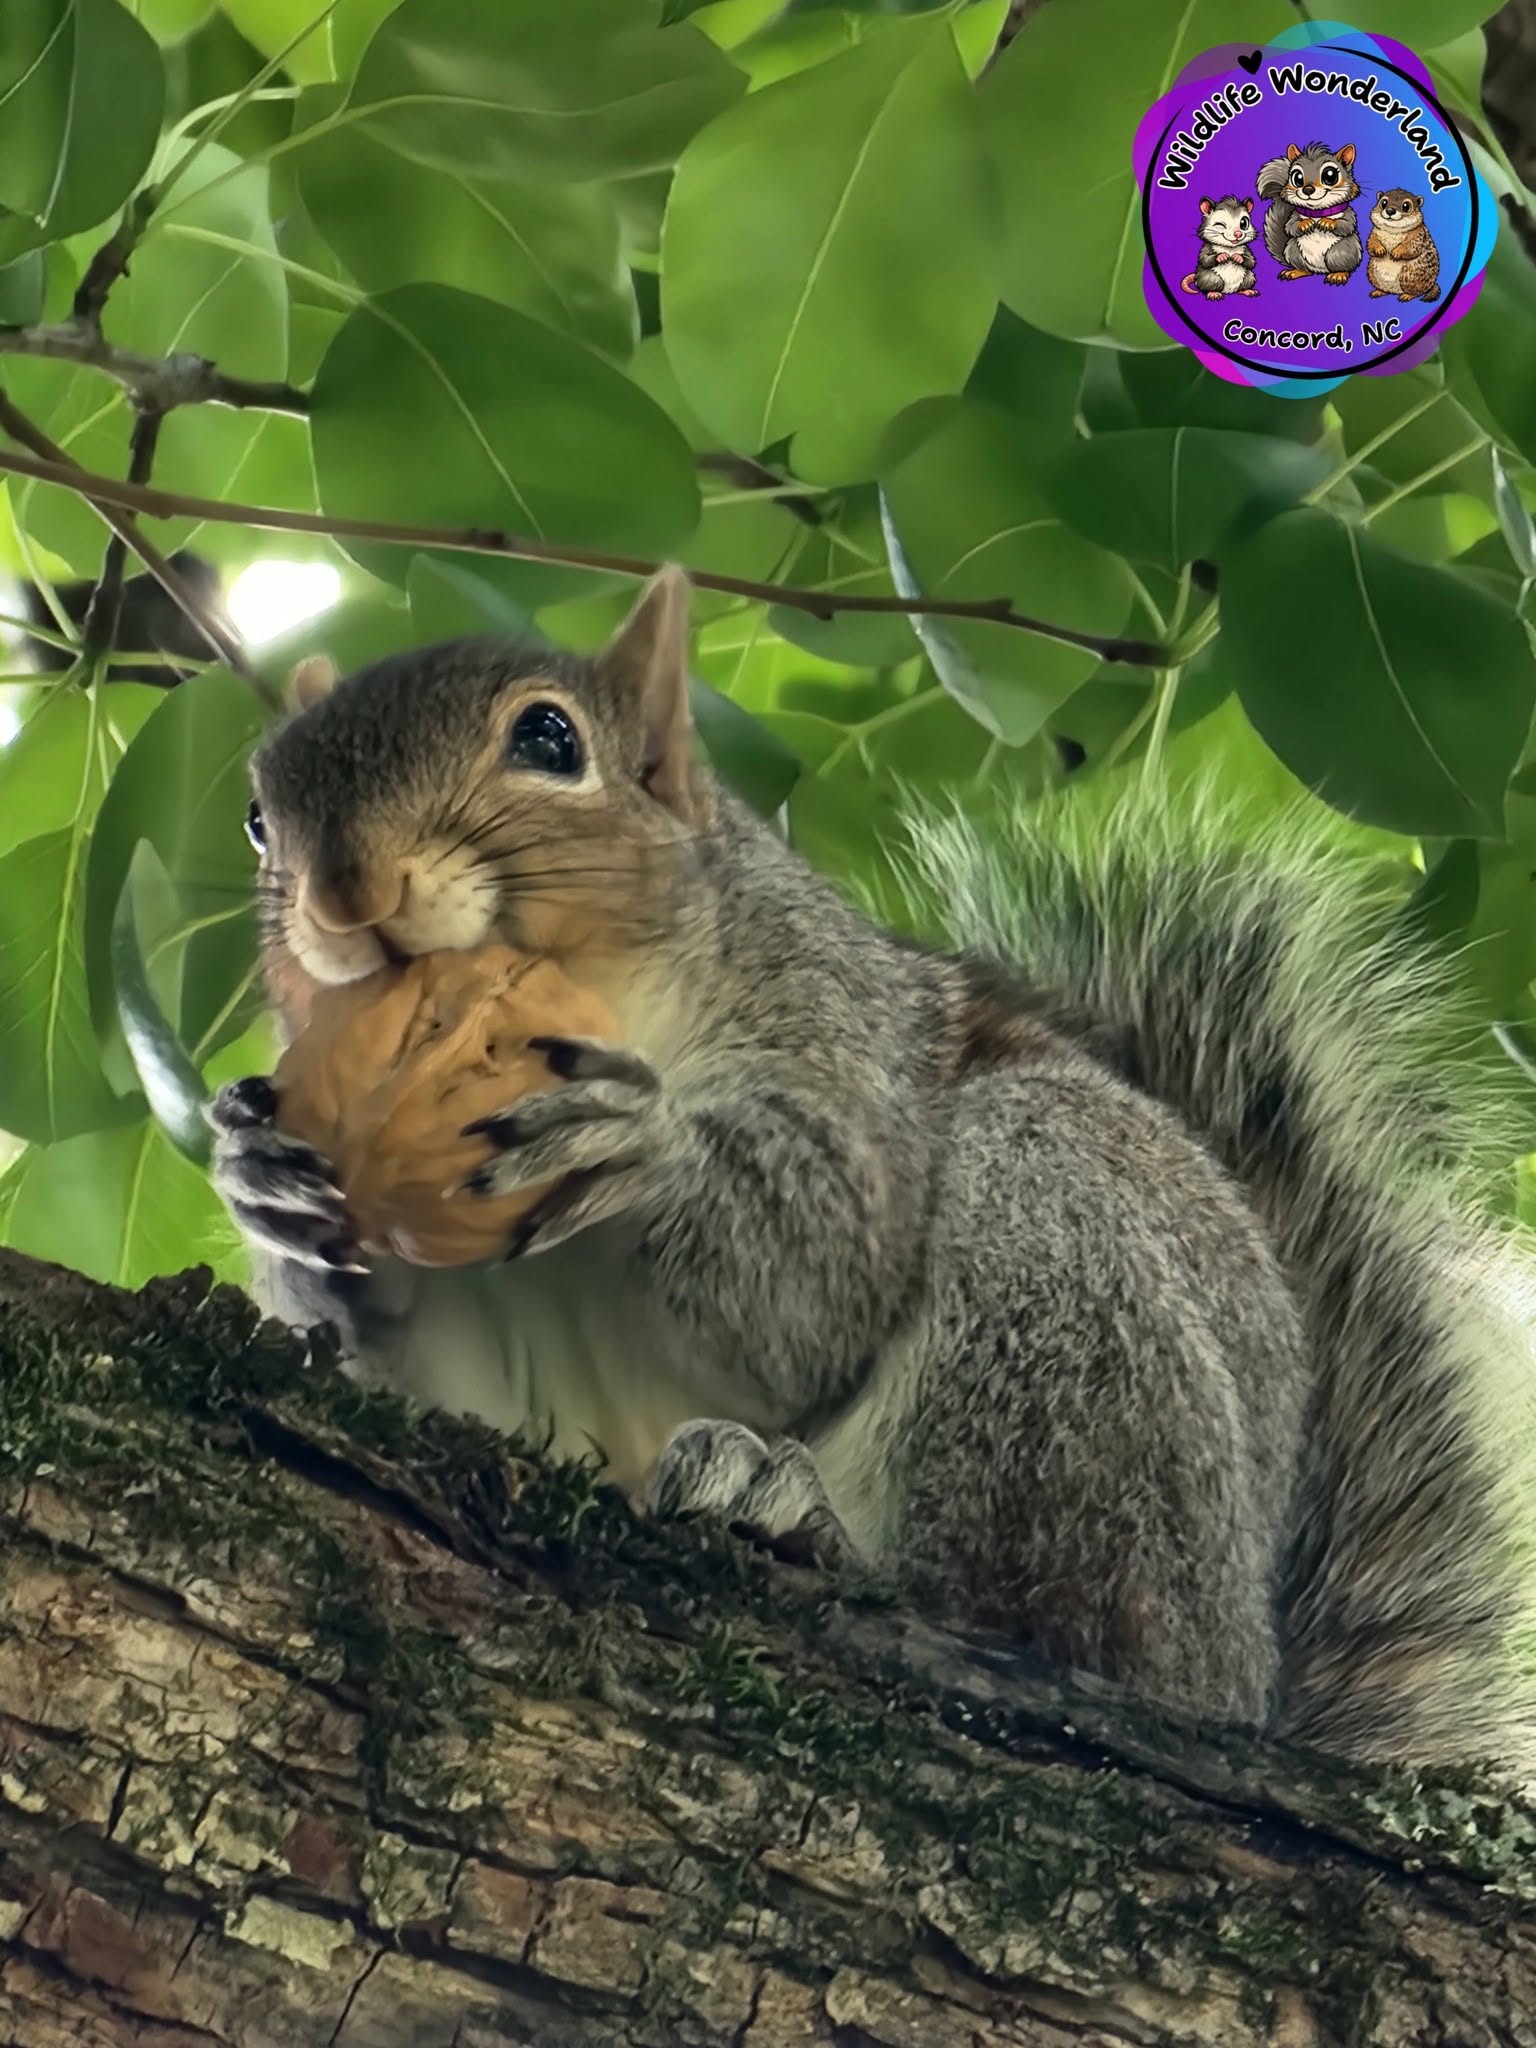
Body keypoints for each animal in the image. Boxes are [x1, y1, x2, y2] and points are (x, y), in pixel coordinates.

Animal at [209, 568, 1536, 1773]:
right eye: (259, 816)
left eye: (550, 738)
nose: (345, 890)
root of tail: (1247, 1666)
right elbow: (447, 1374)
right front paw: (264, 1182)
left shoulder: (846, 1035)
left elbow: (814, 1292)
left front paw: (641, 1143)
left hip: (1066, 1268)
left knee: (1041, 1616)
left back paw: (803, 1517)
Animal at [1256, 141, 1363, 285]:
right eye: (1297, 177)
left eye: (1330, 175)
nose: (1308, 189)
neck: (1317, 212)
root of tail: (1320, 270)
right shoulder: (1293, 216)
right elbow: (1290, 227)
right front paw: (1305, 224)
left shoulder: (1348, 214)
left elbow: (1347, 226)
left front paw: (1328, 222)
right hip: (1293, 251)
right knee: (1306, 270)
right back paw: (1295, 272)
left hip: (1340, 253)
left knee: (1344, 267)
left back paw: (1338, 275)